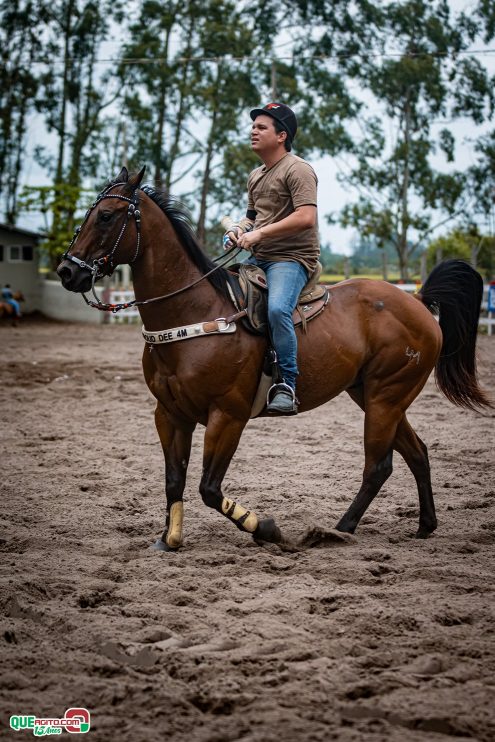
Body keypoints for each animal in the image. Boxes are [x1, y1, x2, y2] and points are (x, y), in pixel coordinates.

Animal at [56, 169, 490, 552]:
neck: (195, 312)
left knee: (378, 466)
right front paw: (170, 540)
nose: (66, 271)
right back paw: (424, 525)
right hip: (372, 395)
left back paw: (338, 530)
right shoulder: (169, 413)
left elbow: (208, 488)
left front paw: (266, 528)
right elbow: (174, 480)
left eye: (106, 216)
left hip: (386, 398)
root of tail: (417, 301)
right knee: (417, 453)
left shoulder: (227, 415)